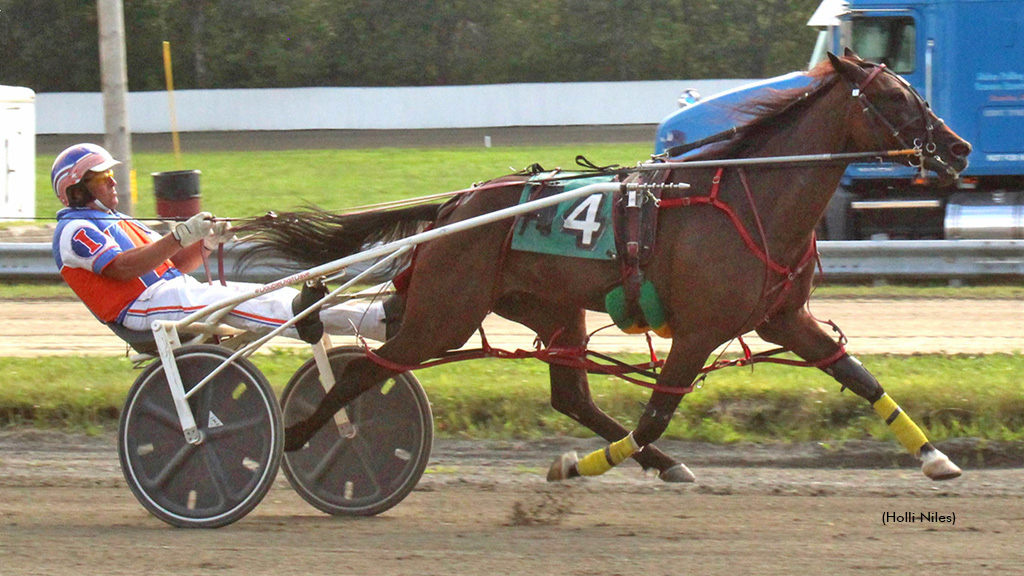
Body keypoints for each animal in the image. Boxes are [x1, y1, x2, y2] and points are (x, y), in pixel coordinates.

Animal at [237, 53, 966, 481]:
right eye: (895, 98)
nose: (957, 148)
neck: (748, 197)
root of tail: (455, 207)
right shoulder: (700, 330)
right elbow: (655, 416)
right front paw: (579, 468)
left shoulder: (784, 317)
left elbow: (858, 375)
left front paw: (935, 457)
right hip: (444, 312)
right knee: (366, 369)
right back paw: (297, 436)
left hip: (549, 308)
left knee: (570, 395)